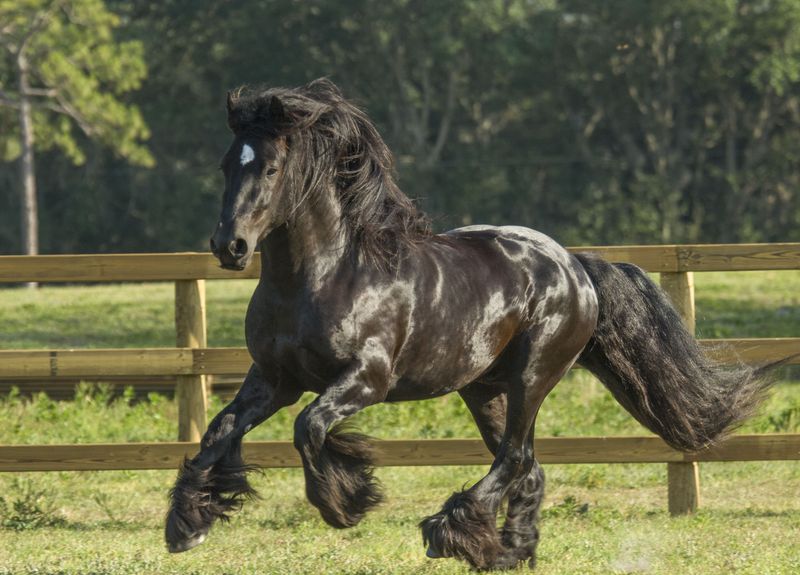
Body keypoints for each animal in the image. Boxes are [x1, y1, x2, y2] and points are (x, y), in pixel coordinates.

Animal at [166, 80, 772, 572]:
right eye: (226, 164)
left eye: (270, 168)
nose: (229, 246)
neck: (324, 275)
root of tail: (575, 266)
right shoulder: (274, 379)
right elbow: (219, 430)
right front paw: (187, 524)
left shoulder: (364, 381)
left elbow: (309, 428)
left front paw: (346, 502)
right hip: (484, 389)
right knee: (528, 466)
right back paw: (506, 551)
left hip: (533, 376)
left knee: (514, 457)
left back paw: (448, 533)